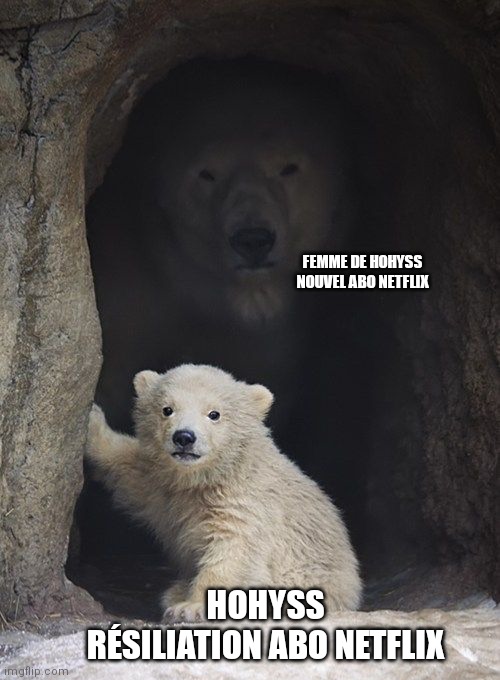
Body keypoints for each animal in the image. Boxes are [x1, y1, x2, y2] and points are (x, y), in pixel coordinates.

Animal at [86, 363, 362, 621]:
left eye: (214, 414)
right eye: (167, 409)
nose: (184, 437)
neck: (206, 478)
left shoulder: (246, 502)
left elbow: (234, 552)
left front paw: (191, 607)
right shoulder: (161, 485)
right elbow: (130, 470)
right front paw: (92, 422)